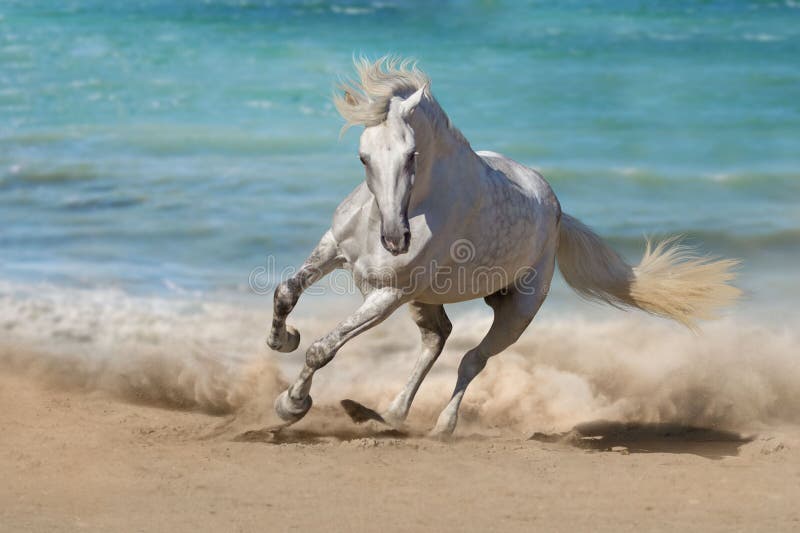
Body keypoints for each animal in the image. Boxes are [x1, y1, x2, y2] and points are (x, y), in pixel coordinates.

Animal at [266, 56, 740, 436]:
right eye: (364, 157)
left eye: (412, 155)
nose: (395, 239)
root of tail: (556, 210)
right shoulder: (334, 249)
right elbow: (286, 292)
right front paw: (282, 339)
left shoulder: (388, 295)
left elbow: (323, 348)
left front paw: (291, 405)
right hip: (426, 299)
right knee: (437, 339)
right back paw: (385, 414)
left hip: (516, 312)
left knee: (471, 360)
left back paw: (439, 426)